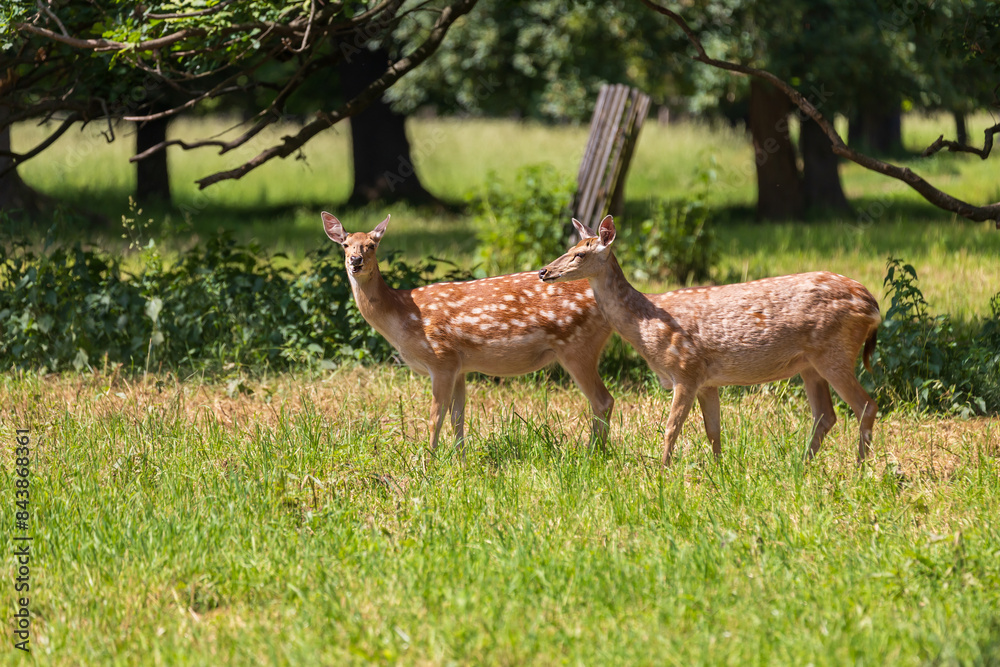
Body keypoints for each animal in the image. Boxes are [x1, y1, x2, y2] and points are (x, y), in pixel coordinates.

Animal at [322, 212, 616, 454]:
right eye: (345, 244)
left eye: (372, 245)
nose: (356, 261)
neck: (402, 316)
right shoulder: (459, 366)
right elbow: (458, 417)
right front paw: (461, 462)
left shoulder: (441, 359)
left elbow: (435, 417)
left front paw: (428, 463)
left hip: (577, 346)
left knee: (603, 401)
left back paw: (593, 455)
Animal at [538, 215, 881, 466]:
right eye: (568, 248)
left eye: (580, 253)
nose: (544, 271)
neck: (645, 323)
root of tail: (873, 306)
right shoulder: (708, 380)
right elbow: (713, 430)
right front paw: (720, 470)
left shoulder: (686, 369)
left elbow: (671, 427)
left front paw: (661, 471)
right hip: (810, 364)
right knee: (826, 415)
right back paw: (801, 465)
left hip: (835, 352)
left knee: (866, 405)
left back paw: (859, 467)